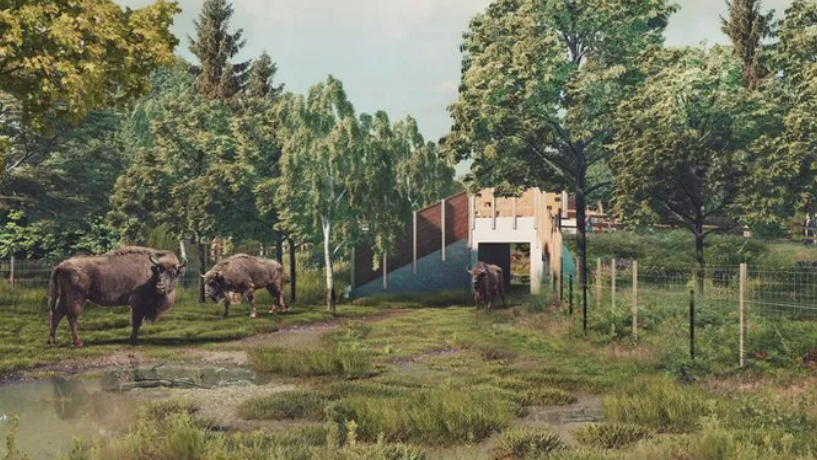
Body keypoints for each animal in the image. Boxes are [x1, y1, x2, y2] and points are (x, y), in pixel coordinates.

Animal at [48, 246, 187, 346]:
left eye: (173, 273)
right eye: (159, 271)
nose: (160, 287)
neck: (150, 271)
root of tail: (61, 265)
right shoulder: (137, 303)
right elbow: (136, 322)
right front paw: (133, 341)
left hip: (63, 297)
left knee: (57, 315)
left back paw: (52, 341)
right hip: (77, 298)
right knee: (71, 317)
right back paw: (78, 342)